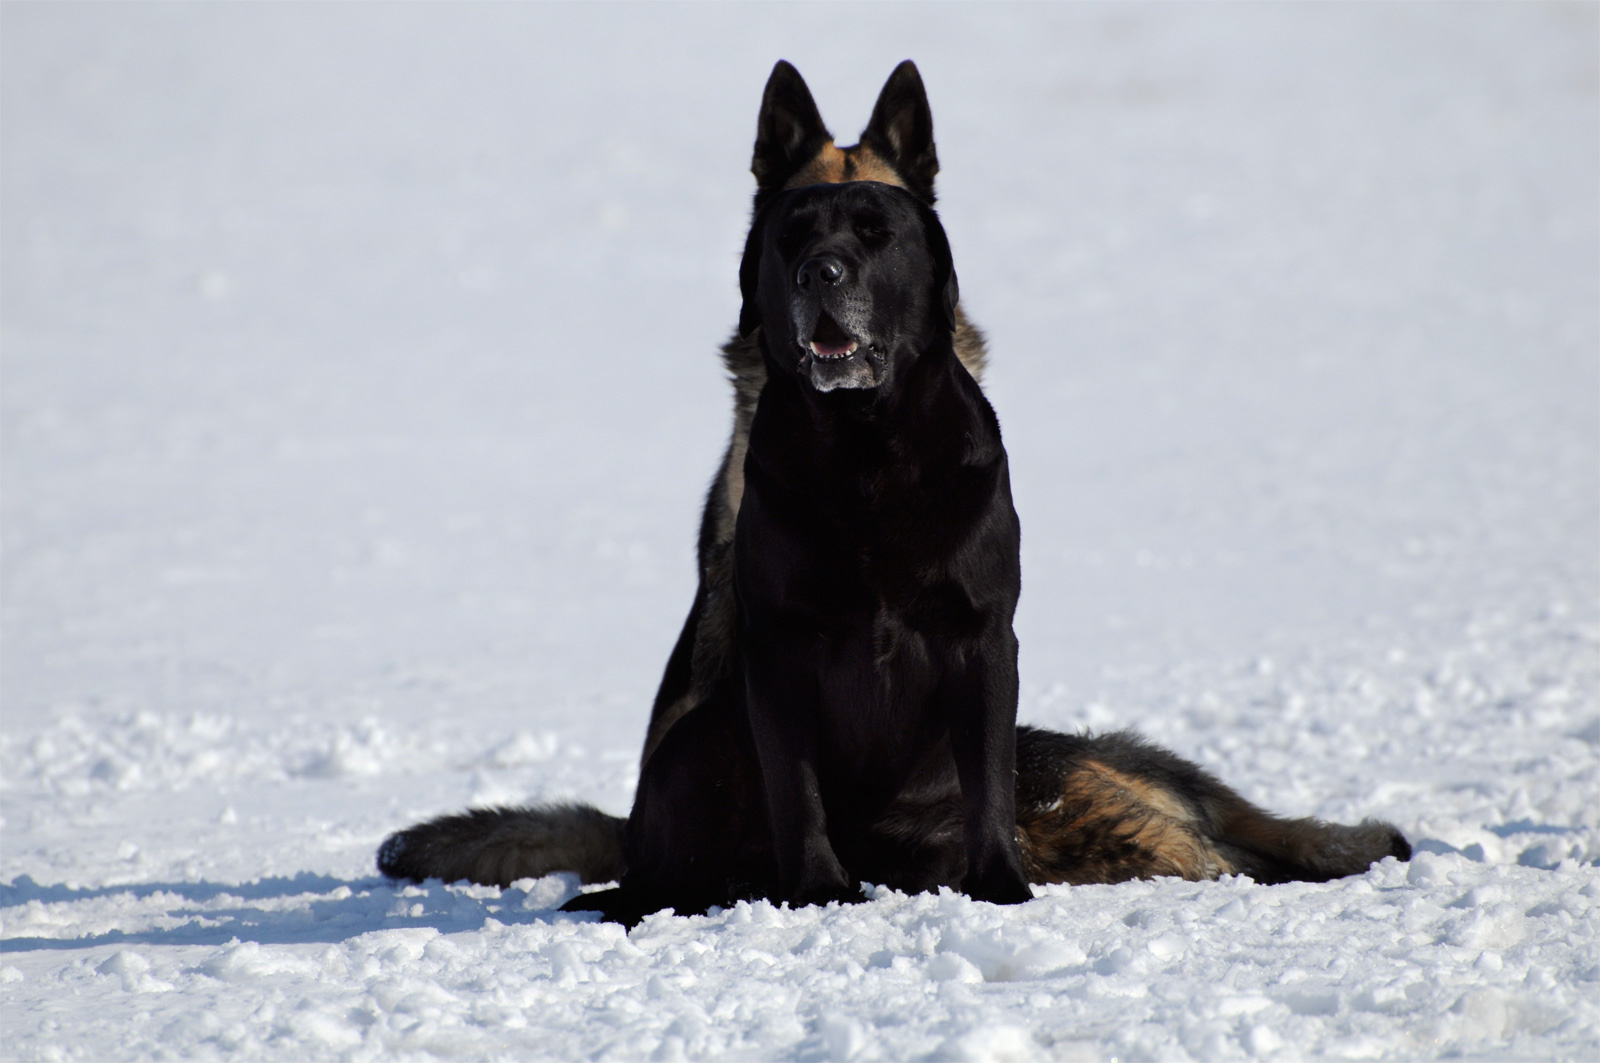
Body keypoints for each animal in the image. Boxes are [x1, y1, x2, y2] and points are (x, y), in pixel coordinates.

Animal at [368, 64, 1408, 922]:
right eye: (791, 232)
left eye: (878, 229)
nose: (819, 272)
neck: (868, 449)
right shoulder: (771, 655)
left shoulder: (983, 644)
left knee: (1238, 826)